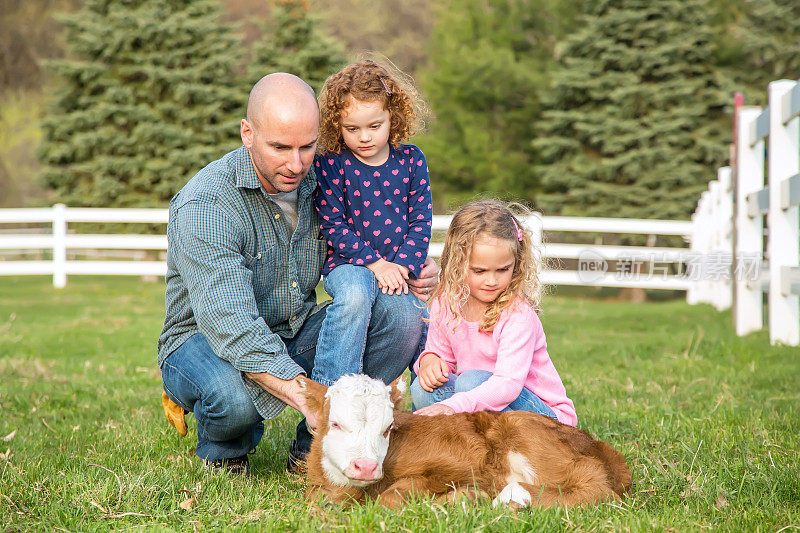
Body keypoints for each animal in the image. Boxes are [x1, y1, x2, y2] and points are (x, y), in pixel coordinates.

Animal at [300, 374, 632, 508]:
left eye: (388, 428)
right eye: (335, 424)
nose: (366, 467)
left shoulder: (462, 462)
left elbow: (395, 495)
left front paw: (466, 498)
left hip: (529, 435)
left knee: (595, 489)